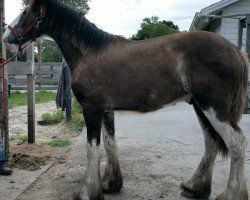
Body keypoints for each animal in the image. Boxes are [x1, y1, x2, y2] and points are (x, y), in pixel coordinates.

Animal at [2, 0, 249, 200]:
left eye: (26, 11)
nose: (6, 38)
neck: (90, 53)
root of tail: (235, 50)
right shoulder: (106, 110)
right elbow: (110, 144)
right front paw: (110, 184)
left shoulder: (91, 110)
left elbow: (92, 148)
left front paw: (87, 192)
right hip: (199, 106)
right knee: (211, 142)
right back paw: (194, 188)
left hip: (213, 106)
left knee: (236, 142)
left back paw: (230, 194)